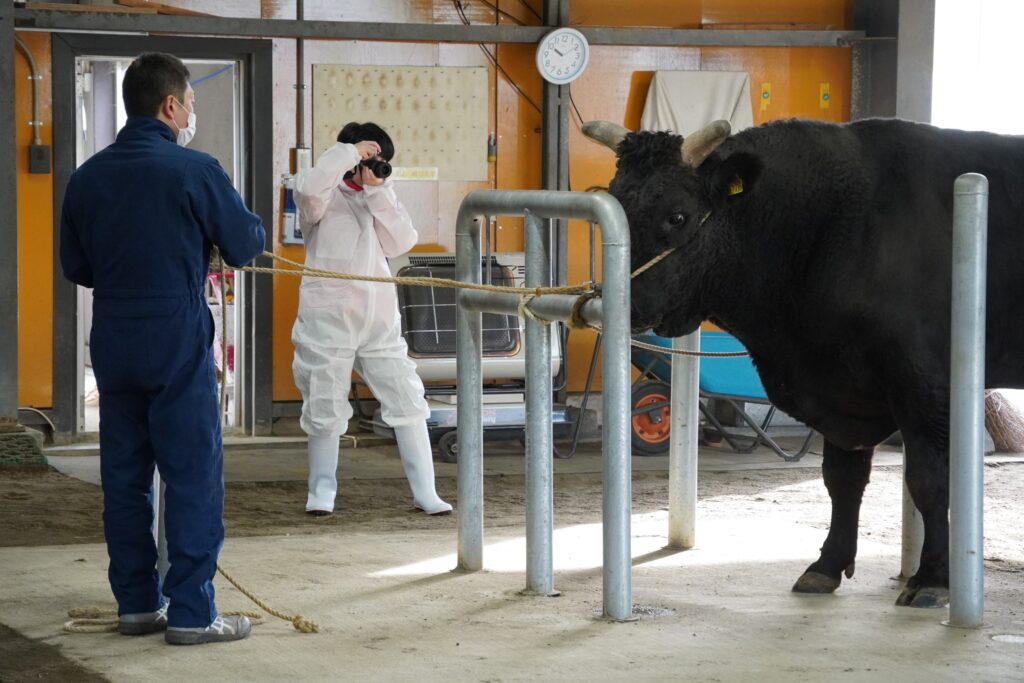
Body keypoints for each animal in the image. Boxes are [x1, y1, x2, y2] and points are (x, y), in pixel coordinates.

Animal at [585, 117, 1024, 610]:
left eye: (678, 215)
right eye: (615, 203)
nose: (617, 303)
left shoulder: (925, 381)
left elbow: (929, 480)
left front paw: (931, 578)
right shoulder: (844, 389)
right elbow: (842, 479)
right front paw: (826, 565)